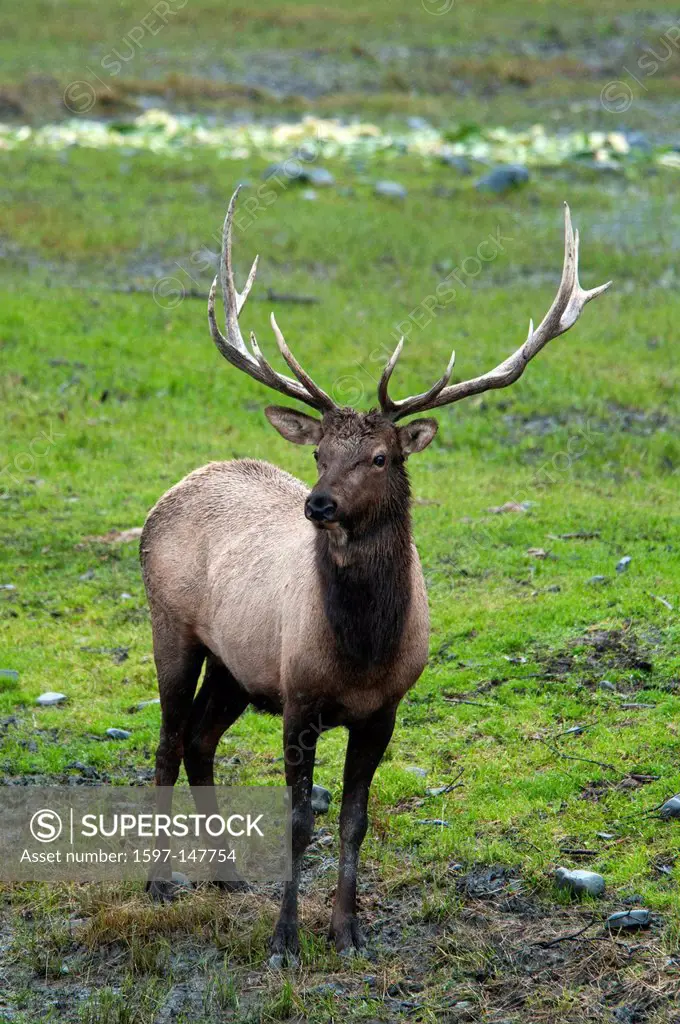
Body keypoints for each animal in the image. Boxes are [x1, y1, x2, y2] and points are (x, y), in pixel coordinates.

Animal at [142, 188, 610, 962]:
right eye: (319, 451)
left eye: (382, 456)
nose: (318, 503)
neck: (360, 652)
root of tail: (174, 491)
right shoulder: (299, 698)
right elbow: (299, 820)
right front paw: (285, 939)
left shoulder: (385, 708)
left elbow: (354, 821)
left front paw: (348, 930)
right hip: (170, 628)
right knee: (169, 744)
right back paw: (157, 883)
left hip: (238, 665)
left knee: (202, 742)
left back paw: (227, 877)